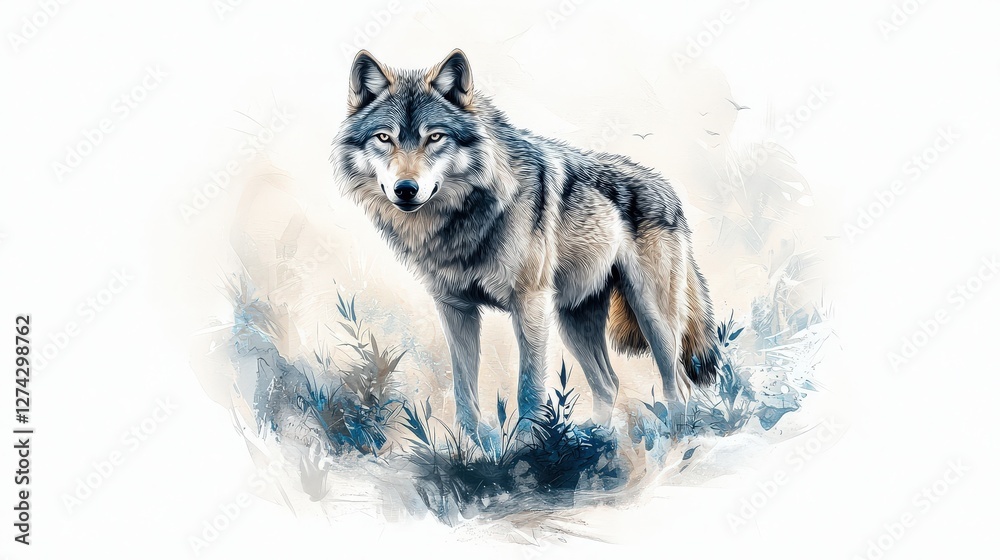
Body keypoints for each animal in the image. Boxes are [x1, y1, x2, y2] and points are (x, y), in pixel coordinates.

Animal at [331, 49, 720, 439]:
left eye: (435, 137)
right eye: (384, 138)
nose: (406, 189)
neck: (466, 217)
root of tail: (669, 189)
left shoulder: (529, 303)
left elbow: (529, 387)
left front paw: (529, 445)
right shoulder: (455, 308)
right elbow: (463, 389)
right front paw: (469, 444)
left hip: (651, 316)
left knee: (678, 385)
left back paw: (675, 441)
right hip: (572, 319)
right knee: (608, 383)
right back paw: (595, 438)